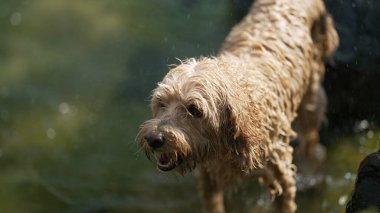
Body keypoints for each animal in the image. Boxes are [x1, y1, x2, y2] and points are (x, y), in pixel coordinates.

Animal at [137, 0, 338, 211]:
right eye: (161, 103)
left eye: (194, 110)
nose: (153, 138)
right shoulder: (208, 178)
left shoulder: (281, 176)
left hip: (311, 102)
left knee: (311, 143)